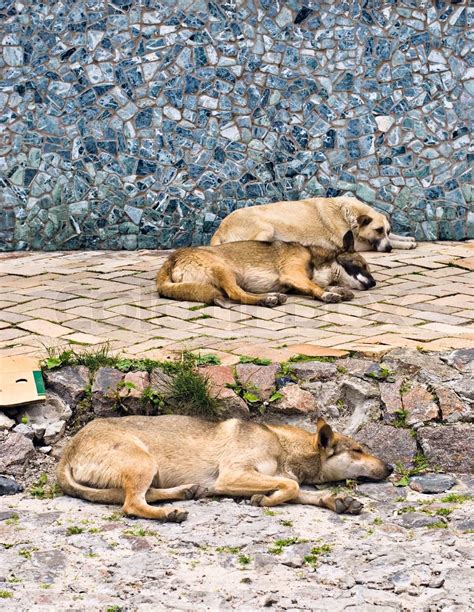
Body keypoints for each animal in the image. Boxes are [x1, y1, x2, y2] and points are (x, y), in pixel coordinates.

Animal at [57, 412, 394, 520]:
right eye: (358, 450)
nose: (391, 467)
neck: (282, 446)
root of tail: (66, 455)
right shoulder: (232, 476)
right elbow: (291, 486)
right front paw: (266, 500)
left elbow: (302, 491)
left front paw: (337, 501)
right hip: (145, 461)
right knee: (132, 505)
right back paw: (168, 513)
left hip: (148, 471)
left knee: (141, 496)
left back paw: (186, 492)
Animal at [210, 197, 414, 252]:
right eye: (377, 230)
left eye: (385, 230)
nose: (388, 249)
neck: (346, 212)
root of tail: (220, 228)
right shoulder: (356, 243)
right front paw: (402, 244)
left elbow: (395, 236)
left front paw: (407, 239)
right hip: (267, 228)